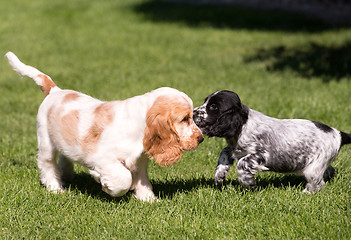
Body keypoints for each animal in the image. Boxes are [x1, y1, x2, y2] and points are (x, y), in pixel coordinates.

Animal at [5, 51, 204, 202]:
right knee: (47, 165)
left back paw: (67, 175)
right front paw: (106, 184)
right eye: (185, 119)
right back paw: (55, 188)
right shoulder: (102, 158)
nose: (201, 139)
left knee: (65, 156)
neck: (139, 126)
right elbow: (123, 178)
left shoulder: (139, 161)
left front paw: (149, 200)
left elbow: (142, 180)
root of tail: (55, 91)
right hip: (46, 141)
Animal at [194, 90, 350, 193]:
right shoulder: (234, 148)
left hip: (313, 168)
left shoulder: (262, 154)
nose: (194, 112)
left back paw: (306, 193)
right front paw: (219, 175)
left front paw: (248, 183)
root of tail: (338, 133)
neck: (243, 125)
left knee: (317, 183)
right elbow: (224, 153)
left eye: (213, 106)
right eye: (205, 101)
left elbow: (242, 163)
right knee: (328, 171)